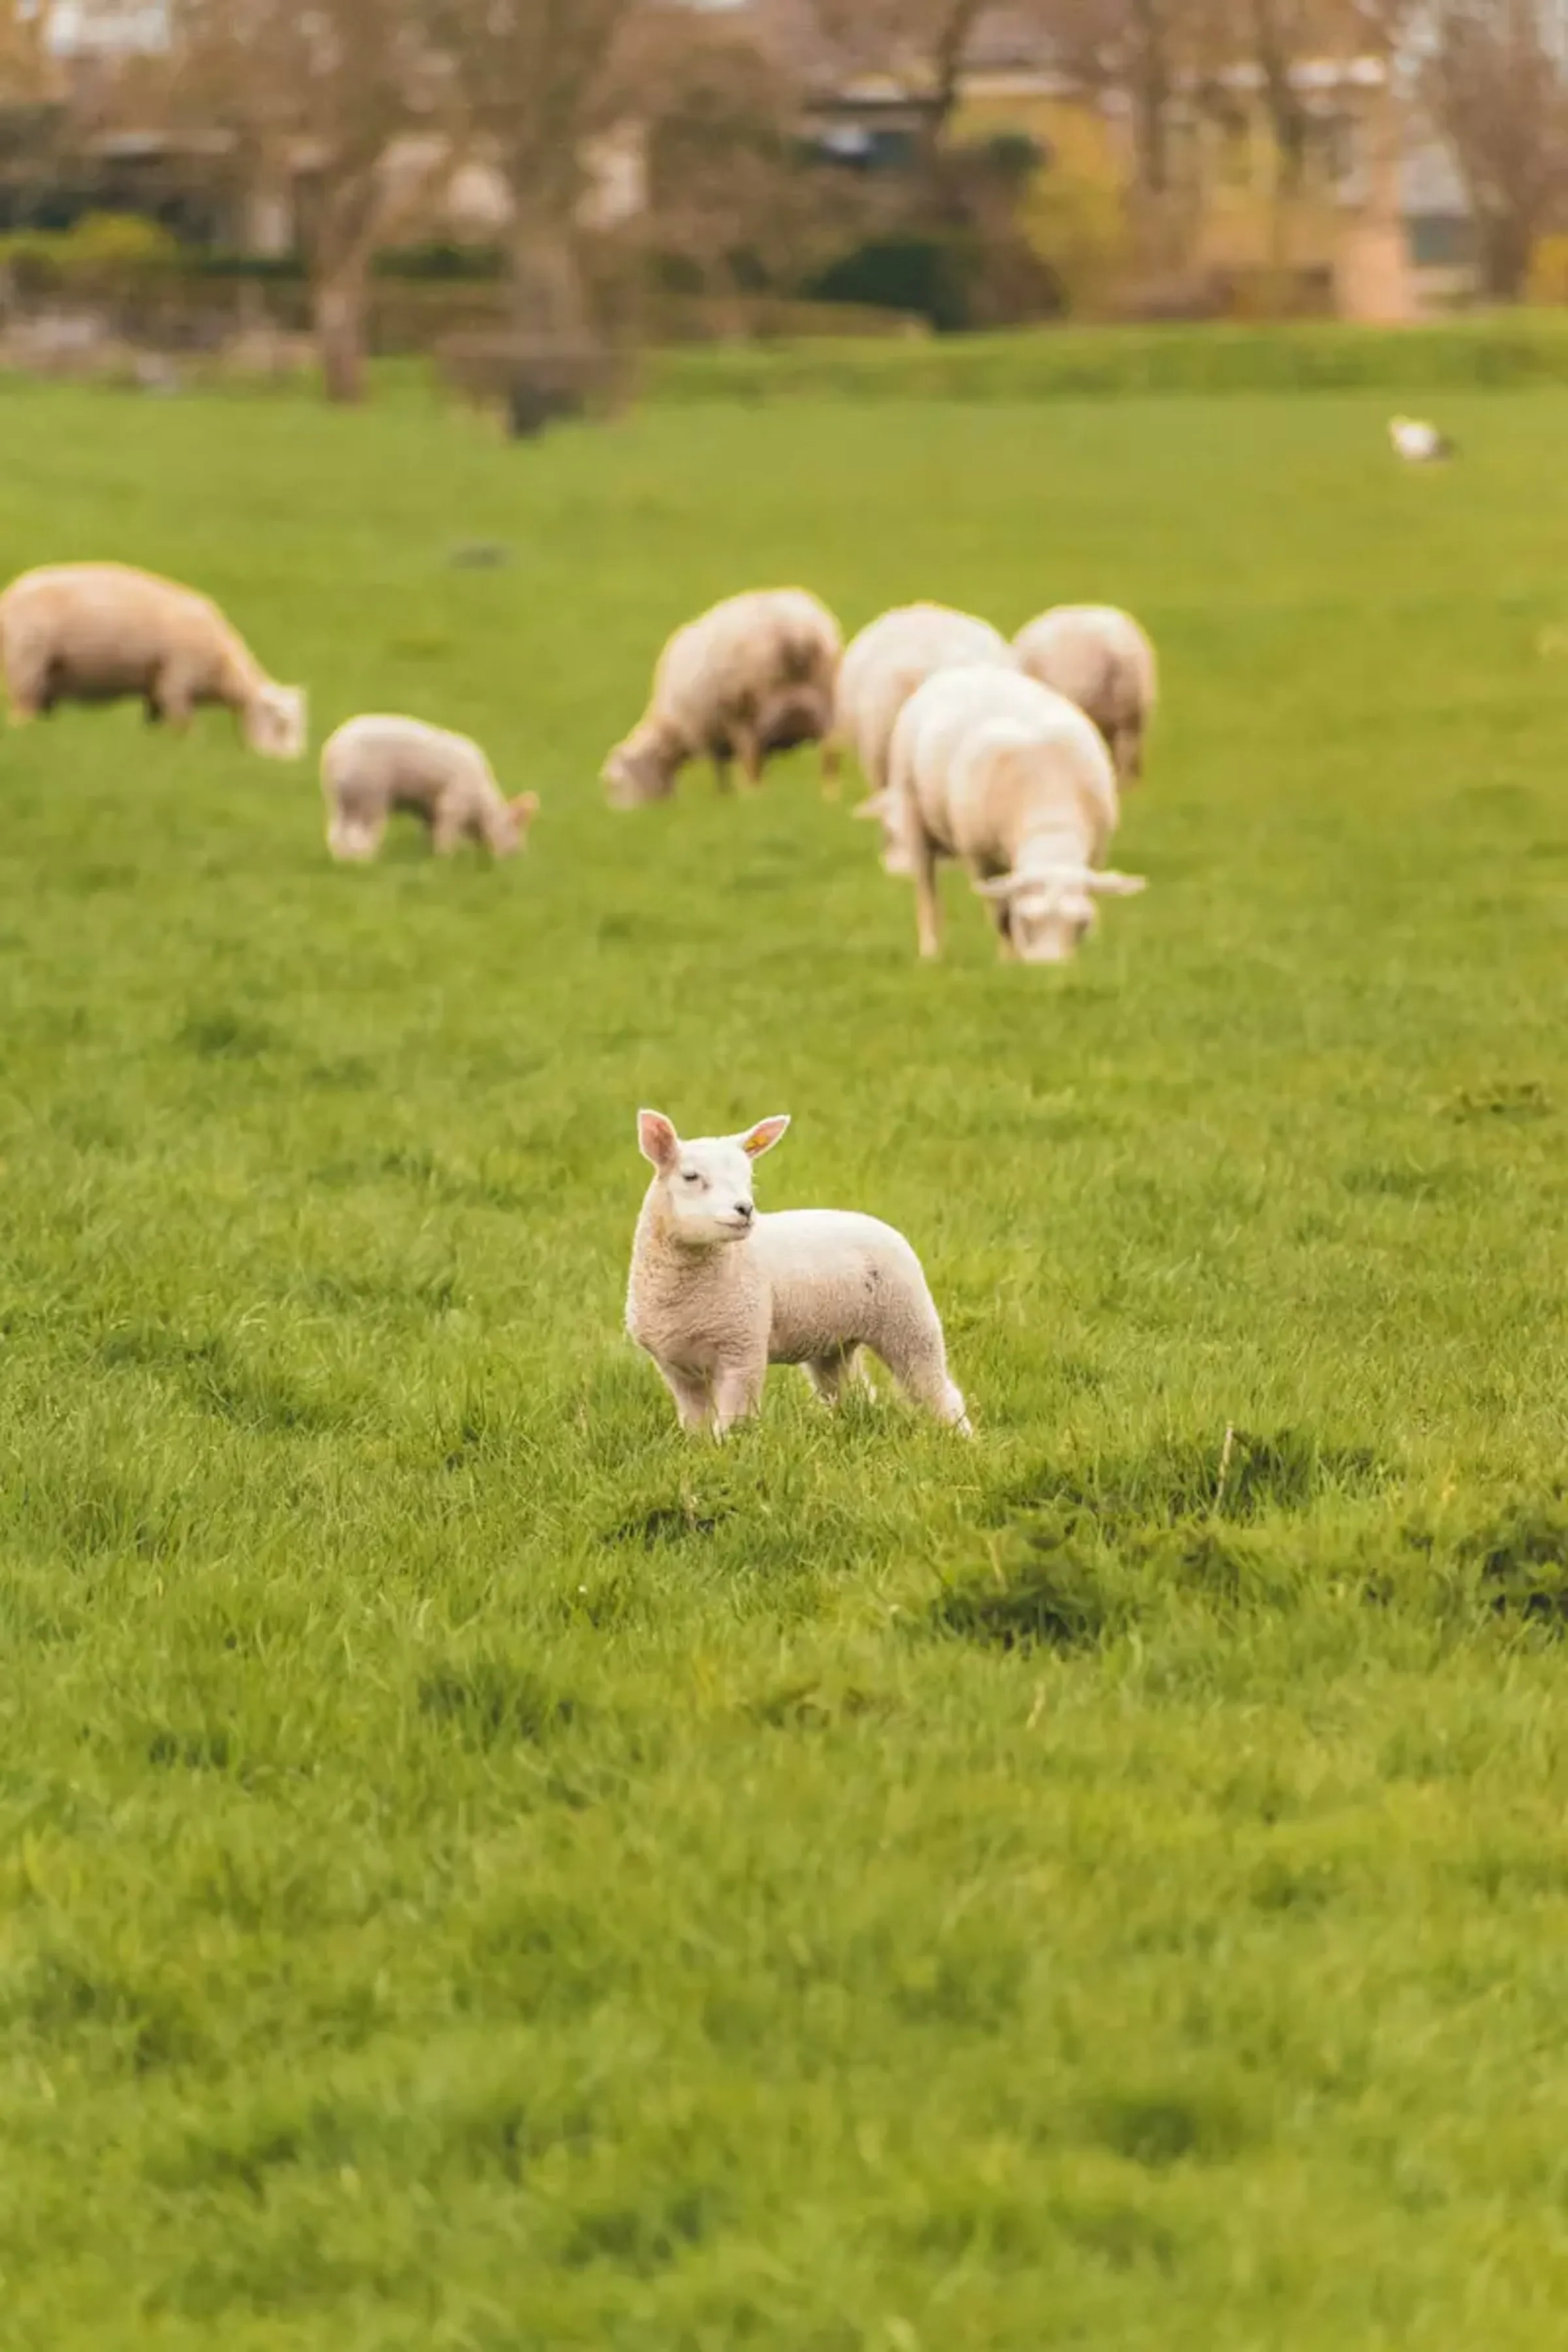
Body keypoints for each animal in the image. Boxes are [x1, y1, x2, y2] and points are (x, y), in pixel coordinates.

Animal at [0, 562, 307, 758]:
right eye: (281, 724)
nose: (291, 765)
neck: (223, 669)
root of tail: (8, 597)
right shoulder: (177, 682)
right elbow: (187, 728)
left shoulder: (157, 690)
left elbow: (153, 723)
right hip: (26, 666)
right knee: (20, 717)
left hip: (42, 677)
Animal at [320, 714, 538, 862]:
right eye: (515, 835)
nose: (517, 859)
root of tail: (333, 753)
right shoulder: (454, 801)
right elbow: (446, 833)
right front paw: (446, 859)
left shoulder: (429, 808)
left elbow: (431, 830)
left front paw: (429, 855)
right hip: (370, 794)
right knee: (360, 835)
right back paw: (367, 861)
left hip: (337, 799)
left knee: (336, 833)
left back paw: (341, 859)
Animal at [602, 588, 843, 806]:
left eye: (615, 784)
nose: (619, 818)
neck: (671, 732)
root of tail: (795, 630)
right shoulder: (718, 738)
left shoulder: (712, 736)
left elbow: (721, 773)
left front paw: (723, 800)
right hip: (826, 701)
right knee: (830, 756)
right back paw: (830, 797)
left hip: (746, 714)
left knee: (752, 766)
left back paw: (754, 801)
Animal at [626, 1108, 970, 1440]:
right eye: (691, 1176)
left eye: (748, 1177)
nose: (745, 1209)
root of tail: (877, 1222)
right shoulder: (675, 1366)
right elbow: (695, 1422)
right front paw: (701, 1449)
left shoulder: (743, 1349)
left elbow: (734, 1421)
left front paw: (729, 1449)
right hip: (835, 1343)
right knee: (853, 1392)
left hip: (909, 1319)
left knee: (937, 1390)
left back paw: (961, 1437)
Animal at [888, 663, 1146, 964]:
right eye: (1026, 921)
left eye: (1082, 924)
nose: (1049, 968)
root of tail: (967, 669)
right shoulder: (983, 858)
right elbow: (1002, 913)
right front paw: (1008, 961)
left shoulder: (1095, 854)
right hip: (913, 812)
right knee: (927, 889)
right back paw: (931, 952)